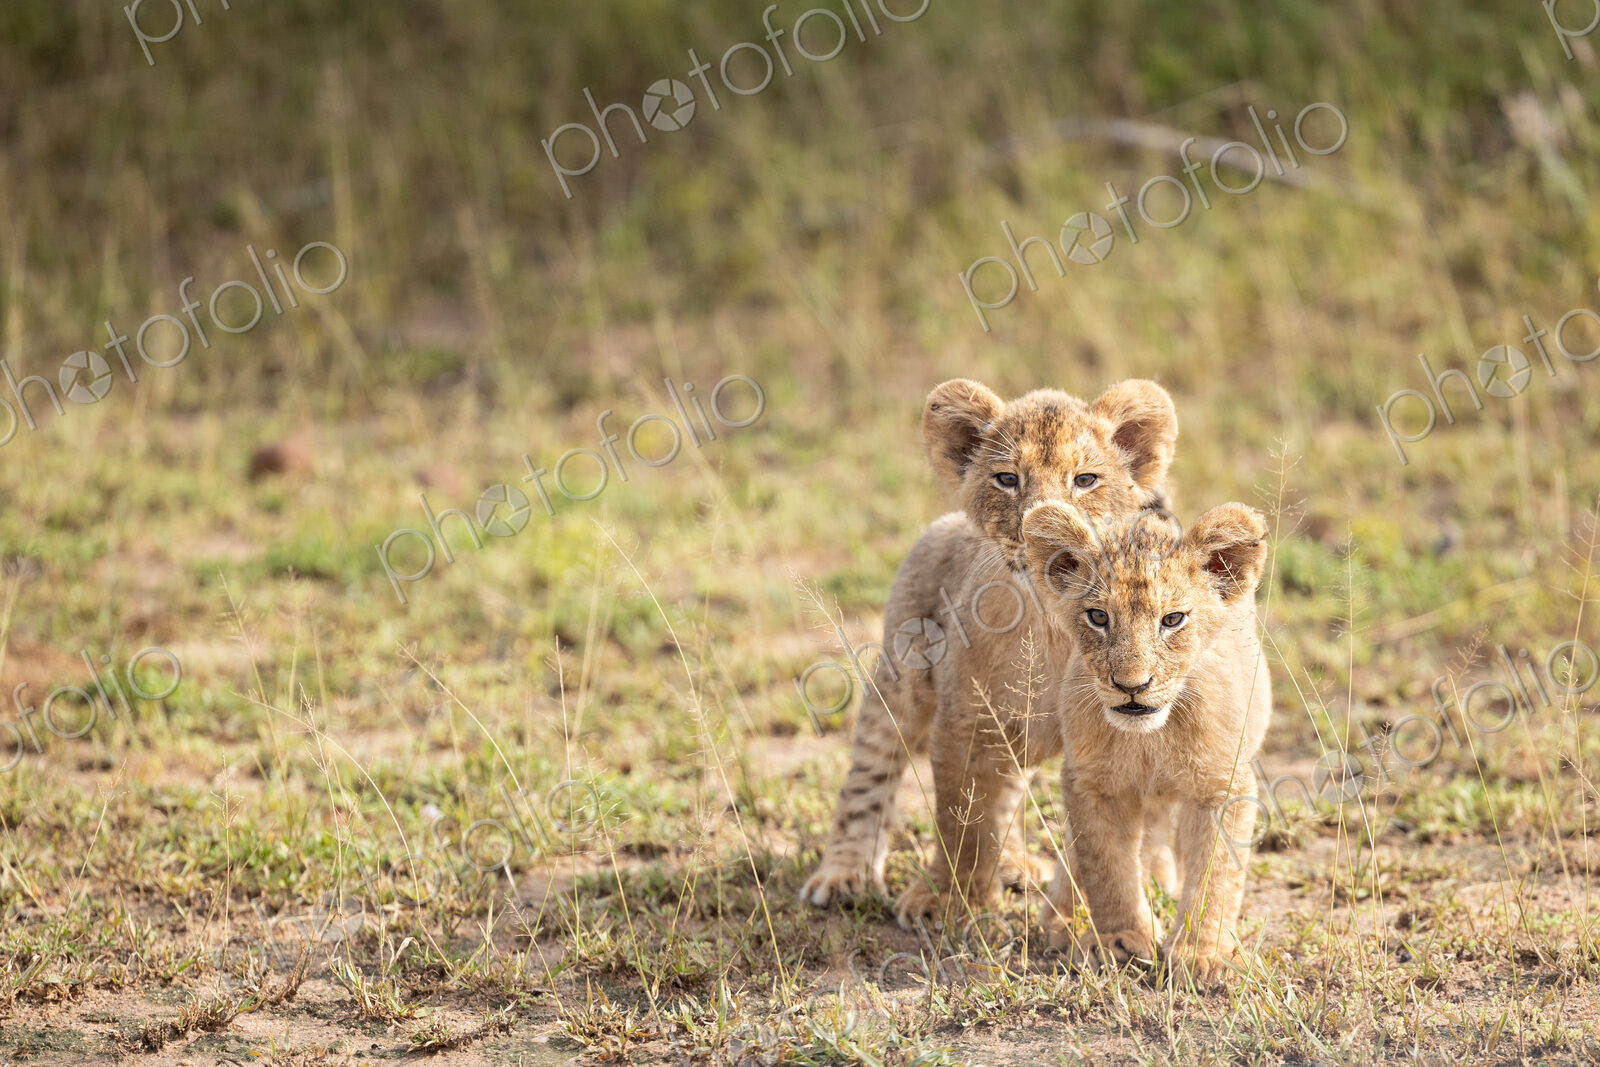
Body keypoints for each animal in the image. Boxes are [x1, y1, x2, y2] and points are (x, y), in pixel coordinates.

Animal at [798, 377, 1179, 911]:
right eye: (1007, 479)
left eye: (1085, 480)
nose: (1043, 527)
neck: (1051, 625)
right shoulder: (963, 721)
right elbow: (960, 819)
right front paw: (943, 899)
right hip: (899, 681)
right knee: (872, 771)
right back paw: (844, 875)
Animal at [1018, 499, 1272, 984]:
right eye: (1098, 617)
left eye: (1172, 620)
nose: (1131, 686)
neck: (1150, 740)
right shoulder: (1091, 783)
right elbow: (1106, 867)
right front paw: (1122, 941)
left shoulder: (1222, 784)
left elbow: (1215, 873)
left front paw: (1200, 954)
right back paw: (1061, 920)